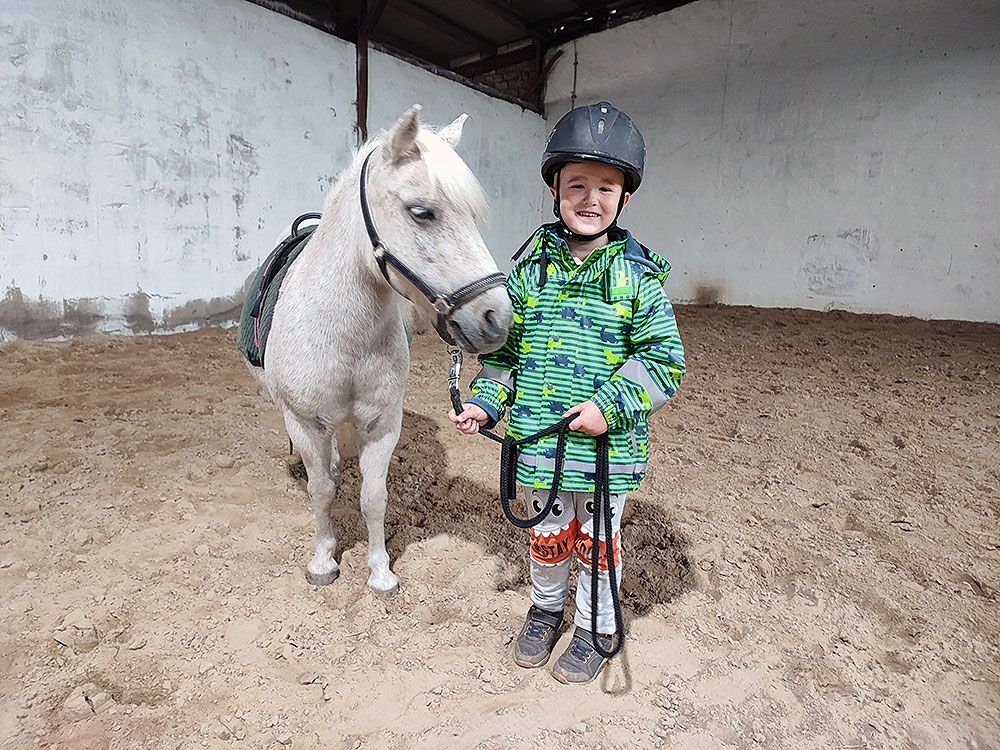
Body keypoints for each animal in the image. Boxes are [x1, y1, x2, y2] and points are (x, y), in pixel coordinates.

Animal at [244, 106, 512, 596]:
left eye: (473, 216)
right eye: (422, 212)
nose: (497, 319)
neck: (343, 334)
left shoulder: (382, 424)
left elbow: (374, 497)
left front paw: (380, 571)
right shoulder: (306, 422)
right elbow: (321, 492)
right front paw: (323, 562)